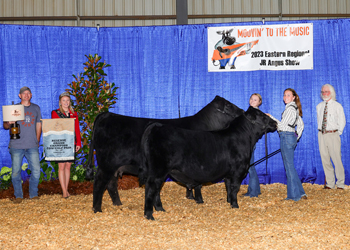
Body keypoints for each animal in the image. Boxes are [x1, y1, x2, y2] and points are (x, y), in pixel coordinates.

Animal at [86, 95, 243, 213]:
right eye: (228, 105)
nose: (242, 110)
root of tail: (107, 114)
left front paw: (190, 196)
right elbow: (198, 183)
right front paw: (198, 199)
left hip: (115, 167)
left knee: (111, 184)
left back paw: (118, 203)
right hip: (107, 164)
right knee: (99, 182)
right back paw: (97, 209)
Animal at [139, 106, 276, 220]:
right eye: (263, 116)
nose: (275, 123)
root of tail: (158, 126)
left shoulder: (229, 174)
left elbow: (228, 187)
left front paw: (229, 202)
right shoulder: (238, 171)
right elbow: (235, 188)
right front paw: (235, 205)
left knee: (156, 188)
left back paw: (160, 209)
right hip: (158, 169)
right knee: (151, 188)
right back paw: (149, 215)